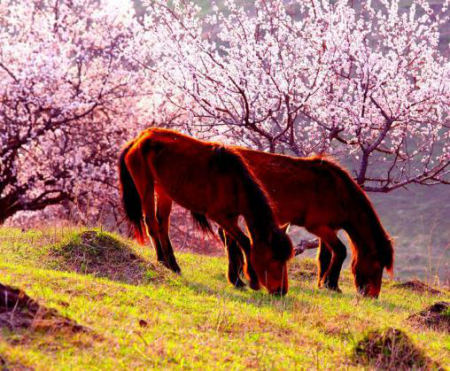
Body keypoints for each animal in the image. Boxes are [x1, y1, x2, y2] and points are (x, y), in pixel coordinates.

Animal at [119, 129, 294, 294]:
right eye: (273, 258)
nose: (281, 291)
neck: (234, 183)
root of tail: (139, 139)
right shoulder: (220, 217)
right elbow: (244, 242)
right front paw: (253, 280)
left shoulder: (231, 218)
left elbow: (231, 244)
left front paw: (236, 280)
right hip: (146, 185)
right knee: (151, 223)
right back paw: (162, 259)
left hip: (163, 191)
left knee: (162, 224)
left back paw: (173, 265)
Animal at [218, 148, 394, 300]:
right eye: (377, 265)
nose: (373, 295)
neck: (338, 191)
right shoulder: (317, 227)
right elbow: (341, 251)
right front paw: (332, 285)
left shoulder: (330, 228)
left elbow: (325, 256)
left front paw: (323, 283)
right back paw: (237, 279)